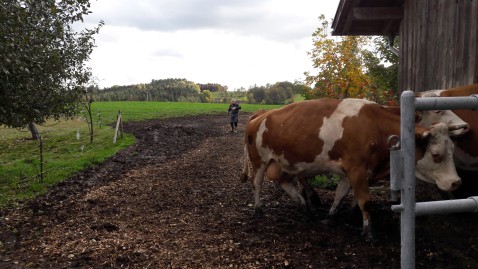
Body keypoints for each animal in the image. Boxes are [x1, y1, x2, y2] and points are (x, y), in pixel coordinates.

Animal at [241, 97, 462, 238]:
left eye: (453, 149)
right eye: (436, 155)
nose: (456, 182)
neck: (375, 127)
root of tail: (260, 116)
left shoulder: (352, 172)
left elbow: (341, 195)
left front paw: (332, 217)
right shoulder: (356, 169)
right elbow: (365, 201)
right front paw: (368, 231)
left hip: (283, 163)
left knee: (285, 182)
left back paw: (306, 207)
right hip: (260, 161)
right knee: (257, 183)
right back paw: (259, 209)